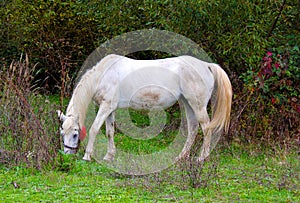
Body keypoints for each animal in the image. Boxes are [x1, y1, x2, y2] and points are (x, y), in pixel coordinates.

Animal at [57, 54, 233, 162]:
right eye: (62, 133)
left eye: (75, 134)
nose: (67, 154)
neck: (103, 76)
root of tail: (206, 65)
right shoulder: (110, 109)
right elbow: (109, 132)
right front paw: (109, 156)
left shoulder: (105, 107)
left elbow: (94, 129)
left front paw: (87, 156)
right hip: (188, 104)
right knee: (193, 128)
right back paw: (181, 157)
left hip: (198, 105)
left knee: (206, 128)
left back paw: (201, 158)